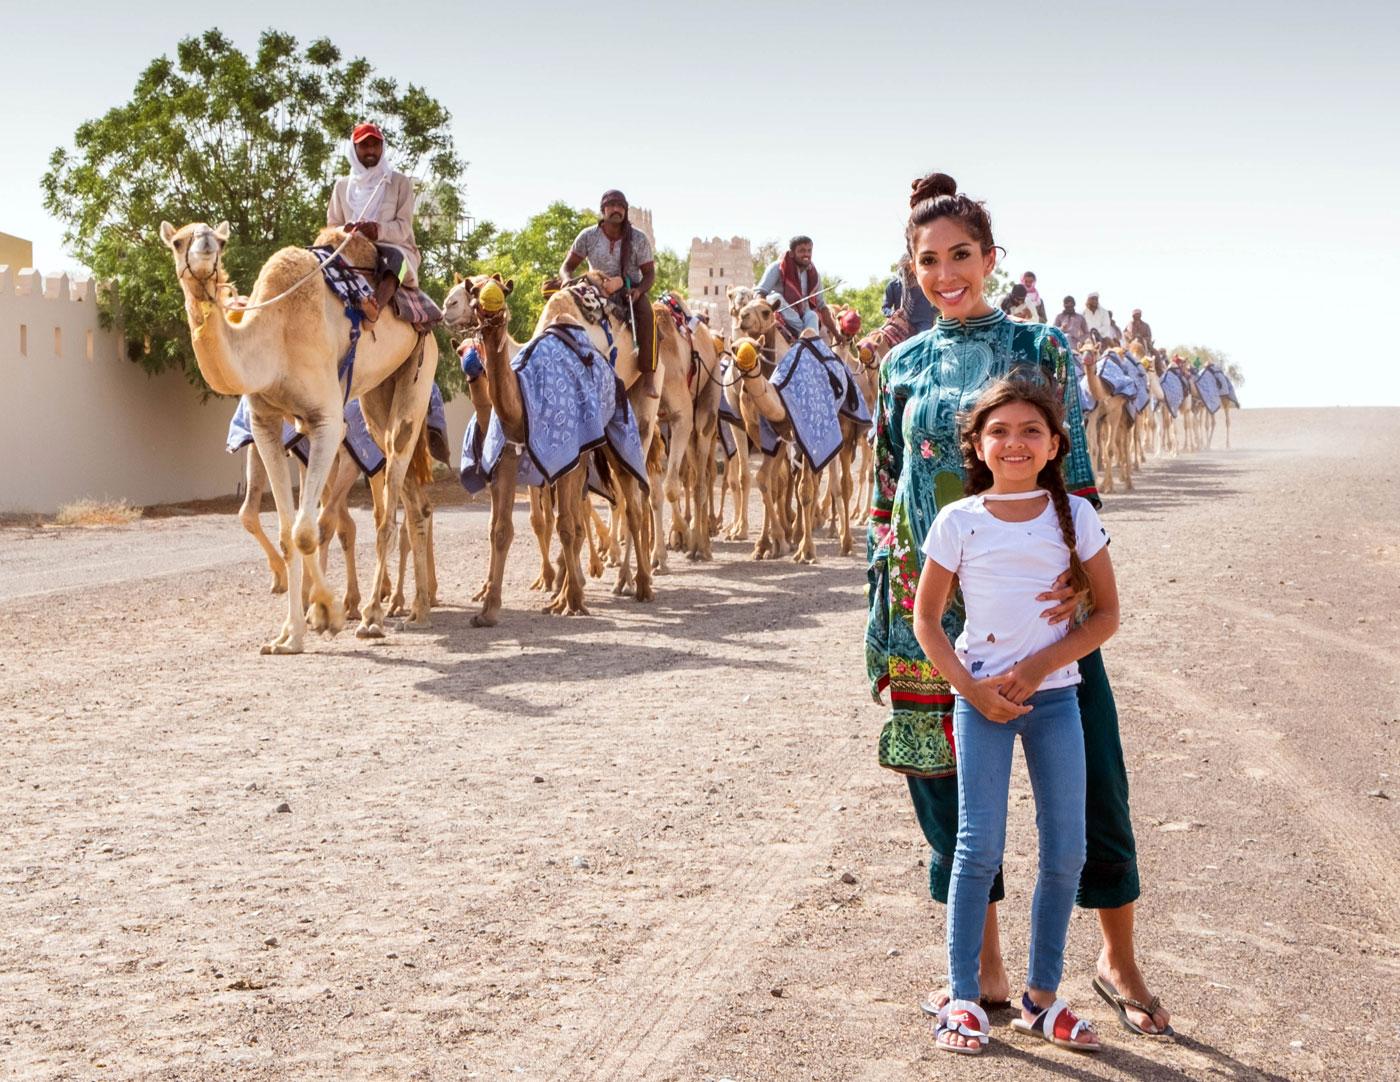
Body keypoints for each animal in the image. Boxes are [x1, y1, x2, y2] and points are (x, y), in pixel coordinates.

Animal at [161, 219, 431, 649]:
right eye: (177, 241)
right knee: (412, 502)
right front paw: (289, 634)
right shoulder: (266, 425)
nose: (204, 247)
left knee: (389, 505)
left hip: (419, 365)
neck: (275, 337)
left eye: (220, 240)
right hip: (375, 398)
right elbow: (289, 532)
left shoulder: (327, 421)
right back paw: (417, 607)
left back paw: (373, 614)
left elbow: (308, 530)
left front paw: (328, 612)